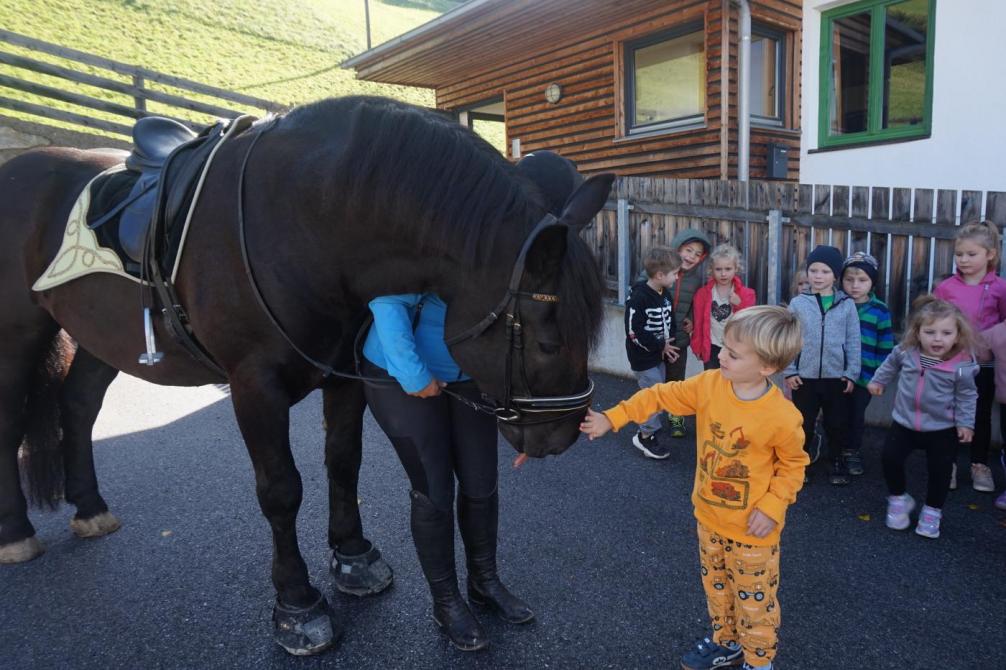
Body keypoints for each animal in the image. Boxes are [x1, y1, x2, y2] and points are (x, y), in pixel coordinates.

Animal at [0, 95, 611, 651]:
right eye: (548, 340)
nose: (564, 434)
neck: (304, 220)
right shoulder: (254, 387)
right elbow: (281, 490)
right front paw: (298, 606)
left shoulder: (343, 375)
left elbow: (344, 462)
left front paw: (355, 557)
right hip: (18, 334)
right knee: (13, 425)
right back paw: (17, 533)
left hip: (103, 335)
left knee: (77, 408)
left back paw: (90, 508)